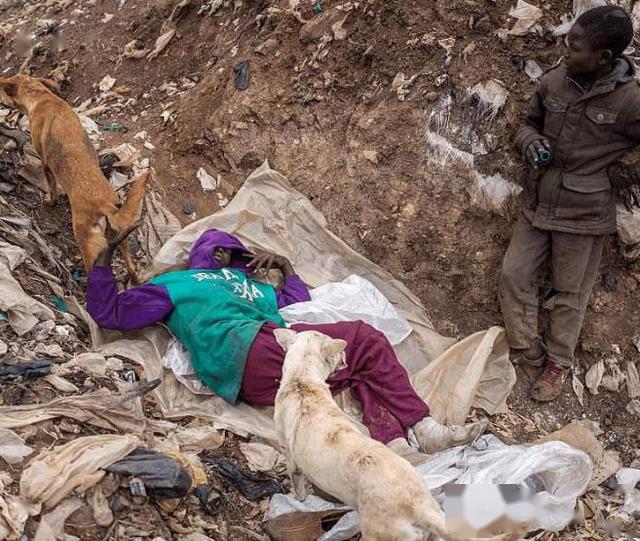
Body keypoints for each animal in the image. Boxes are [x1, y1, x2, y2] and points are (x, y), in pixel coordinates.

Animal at [0, 74, 146, 280]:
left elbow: (52, 187)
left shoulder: (45, 162)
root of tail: (105, 204)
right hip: (119, 235)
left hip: (86, 241)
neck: (41, 96)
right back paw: (134, 277)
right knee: (129, 261)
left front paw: (50, 201)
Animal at [272, 330, 528, 540]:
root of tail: (415, 505)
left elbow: (297, 480)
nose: (345, 355)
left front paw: (299, 499)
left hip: (378, 534)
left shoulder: (289, 454)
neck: (302, 380)